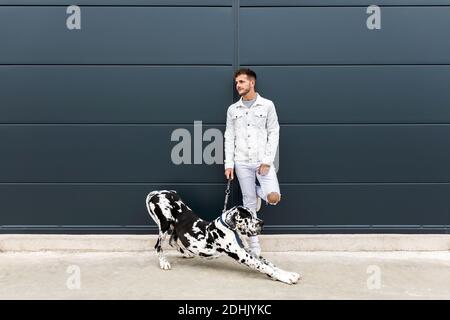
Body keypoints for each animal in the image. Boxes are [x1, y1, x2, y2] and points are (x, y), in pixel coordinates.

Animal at [146, 189, 300, 284]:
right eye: (247, 216)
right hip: (164, 225)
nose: (262, 223)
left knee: (173, 240)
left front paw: (289, 274)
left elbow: (270, 264)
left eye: (253, 213)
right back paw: (164, 263)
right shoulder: (242, 255)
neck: (231, 229)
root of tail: (156, 193)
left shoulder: (248, 251)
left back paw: (187, 253)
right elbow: (264, 266)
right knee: (158, 246)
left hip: (175, 227)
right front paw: (285, 278)